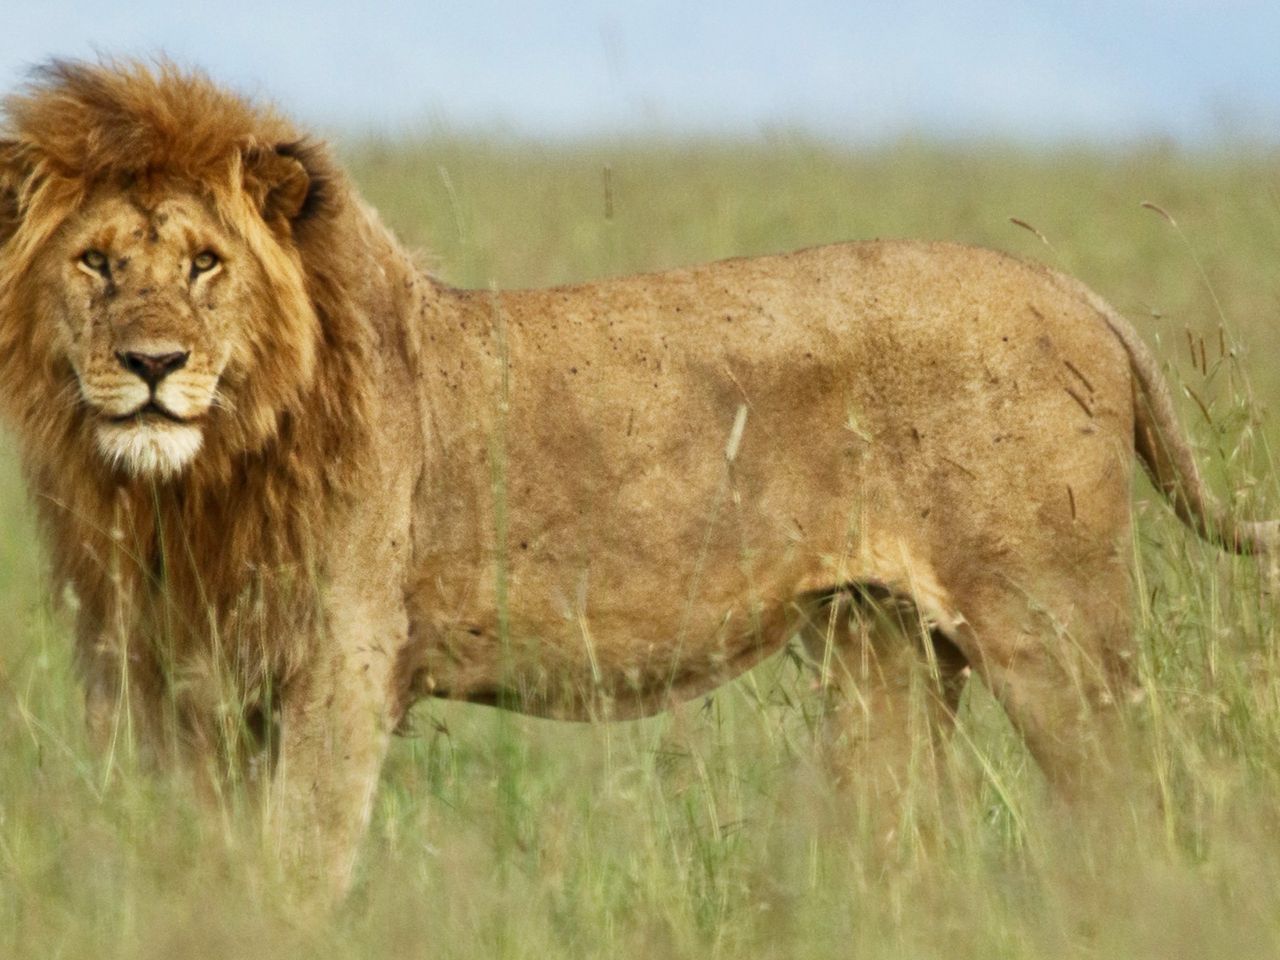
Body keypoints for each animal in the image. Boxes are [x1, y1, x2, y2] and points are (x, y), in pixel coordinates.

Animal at [0, 59, 1275, 899]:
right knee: (900, 845)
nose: (150, 367)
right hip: (881, 650)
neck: (192, 484)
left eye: (205, 265)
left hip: (1052, 631)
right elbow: (198, 860)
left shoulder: (342, 666)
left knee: (1142, 808)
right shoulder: (169, 679)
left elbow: (296, 866)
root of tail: (1074, 291)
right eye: (95, 263)